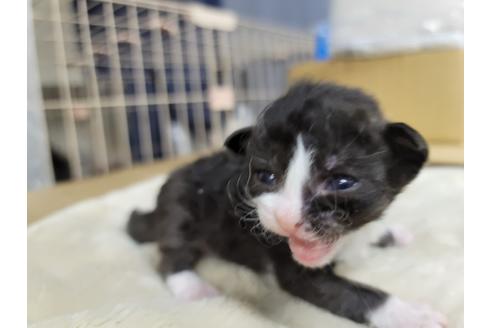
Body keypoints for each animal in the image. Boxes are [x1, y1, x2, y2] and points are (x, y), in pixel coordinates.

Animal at [126, 82, 446, 328]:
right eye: (267, 176)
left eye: (342, 182)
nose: (285, 218)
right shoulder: (295, 271)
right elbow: (353, 294)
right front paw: (409, 314)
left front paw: (394, 233)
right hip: (179, 207)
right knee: (172, 253)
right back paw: (190, 287)